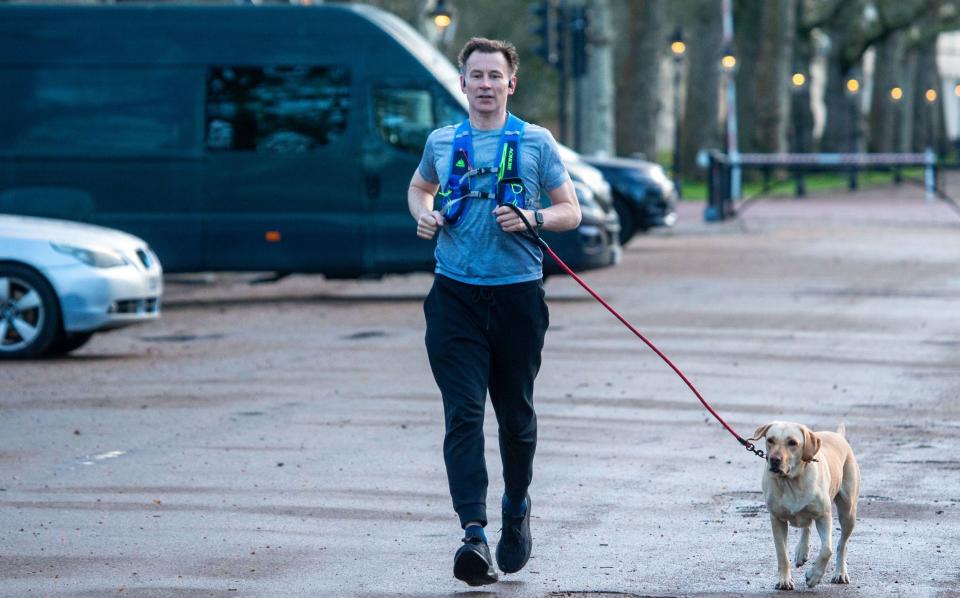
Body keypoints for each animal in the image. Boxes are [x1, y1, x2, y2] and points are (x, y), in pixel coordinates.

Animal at [752, 424, 864, 592]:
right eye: (770, 440)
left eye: (792, 442)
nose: (774, 460)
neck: (792, 482)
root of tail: (838, 436)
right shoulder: (777, 519)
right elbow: (782, 553)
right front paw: (784, 580)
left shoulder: (824, 516)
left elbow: (827, 550)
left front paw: (813, 577)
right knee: (807, 525)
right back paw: (802, 551)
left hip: (848, 513)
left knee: (842, 544)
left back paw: (840, 573)